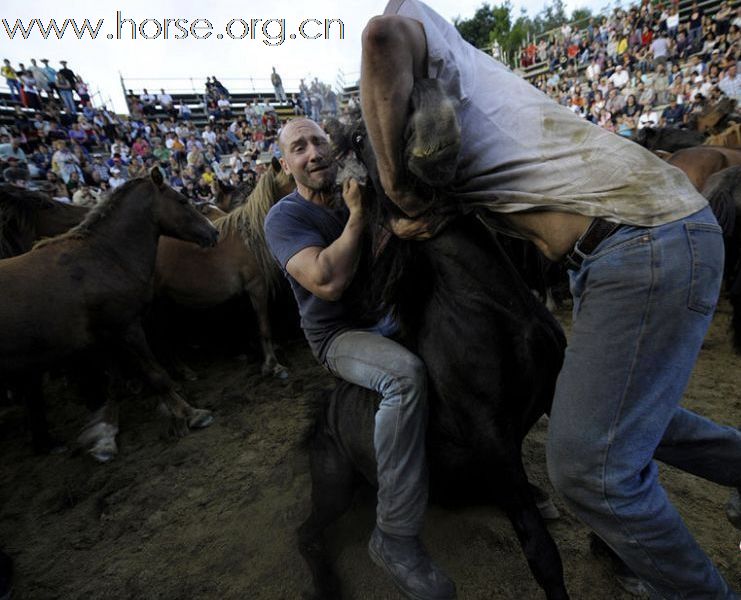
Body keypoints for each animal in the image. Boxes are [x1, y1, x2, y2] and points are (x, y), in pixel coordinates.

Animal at [0, 169, 220, 460]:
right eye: (182, 200)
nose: (213, 232)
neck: (104, 257)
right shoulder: (127, 327)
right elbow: (155, 374)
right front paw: (191, 413)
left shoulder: (107, 338)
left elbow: (124, 380)